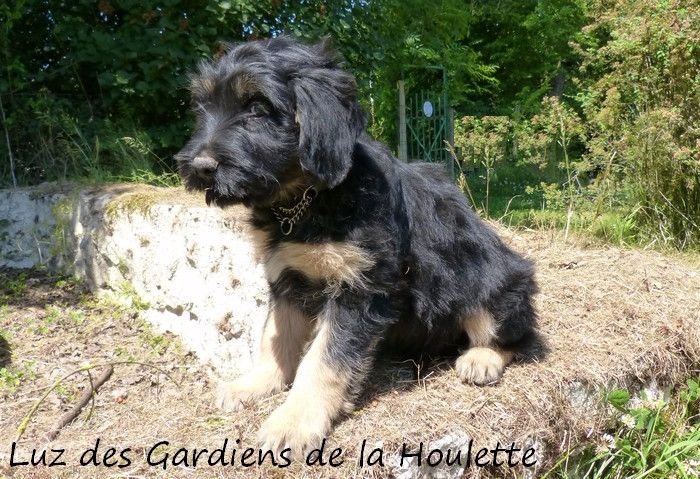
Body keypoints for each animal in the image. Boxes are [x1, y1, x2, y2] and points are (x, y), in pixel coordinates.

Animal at [176, 36, 544, 452]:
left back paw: (481, 358)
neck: (307, 201)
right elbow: (275, 337)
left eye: (257, 108)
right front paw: (255, 383)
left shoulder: (360, 287)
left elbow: (323, 359)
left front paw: (294, 420)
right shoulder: (286, 276)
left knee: (514, 333)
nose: (199, 167)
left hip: (491, 279)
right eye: (203, 107)